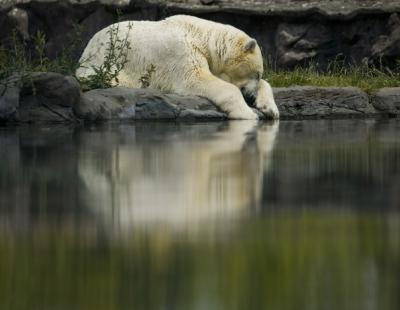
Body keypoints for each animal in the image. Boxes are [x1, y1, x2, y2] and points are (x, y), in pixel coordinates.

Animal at [76, 15, 280, 120]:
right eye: (256, 73)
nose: (250, 97)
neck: (202, 36)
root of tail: (87, 48)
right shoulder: (182, 51)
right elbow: (196, 78)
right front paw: (248, 114)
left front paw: (270, 109)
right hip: (105, 61)